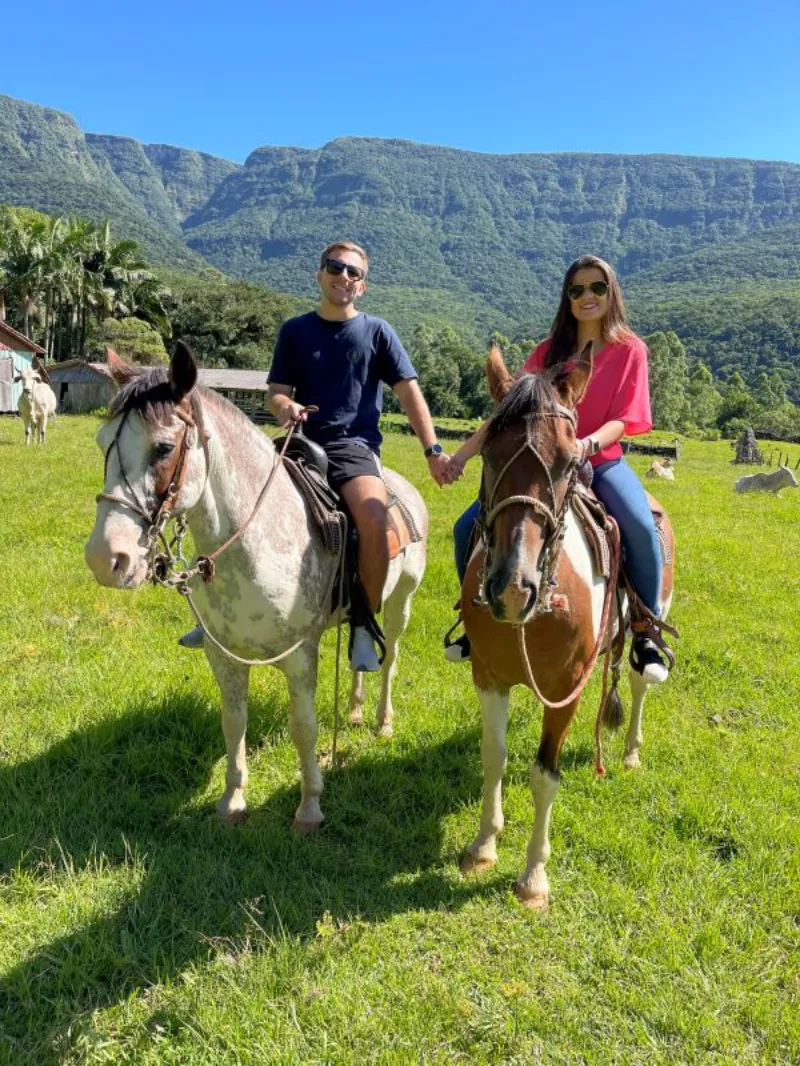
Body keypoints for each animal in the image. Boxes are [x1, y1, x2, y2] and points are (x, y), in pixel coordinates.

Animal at [84, 345, 428, 827]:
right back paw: (356, 709)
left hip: (402, 600)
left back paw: (382, 721)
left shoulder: (300, 656)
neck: (258, 538)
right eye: (102, 443)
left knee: (391, 656)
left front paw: (309, 807)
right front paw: (232, 801)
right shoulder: (223, 655)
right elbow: (234, 722)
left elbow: (304, 728)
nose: (105, 558)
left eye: (164, 447)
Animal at [460, 347, 674, 908]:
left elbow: (544, 776)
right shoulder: (489, 676)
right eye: (488, 455)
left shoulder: (564, 690)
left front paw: (533, 877)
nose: (513, 588)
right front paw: (483, 846)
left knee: (639, 684)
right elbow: (494, 757)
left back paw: (631, 752)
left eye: (568, 463)